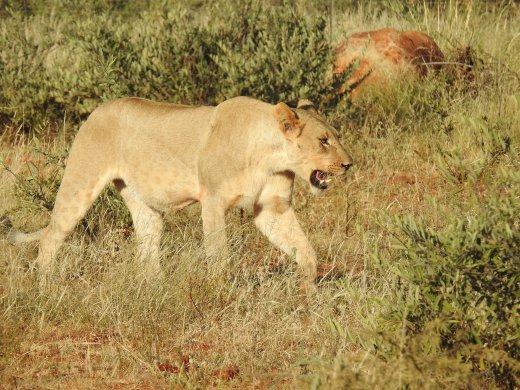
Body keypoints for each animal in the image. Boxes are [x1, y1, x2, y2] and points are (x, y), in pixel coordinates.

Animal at [6, 96, 354, 294]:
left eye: (336, 136)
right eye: (323, 140)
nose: (349, 164)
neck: (270, 155)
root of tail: (96, 111)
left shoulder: (272, 207)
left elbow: (304, 249)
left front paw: (308, 291)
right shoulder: (213, 201)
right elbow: (218, 254)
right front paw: (218, 292)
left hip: (143, 204)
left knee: (146, 250)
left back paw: (156, 289)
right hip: (80, 183)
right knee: (51, 237)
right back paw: (46, 288)